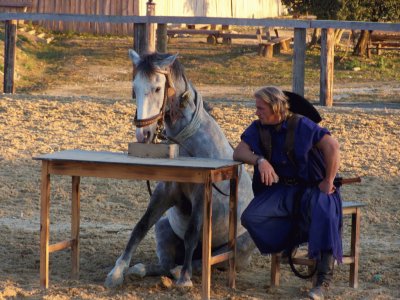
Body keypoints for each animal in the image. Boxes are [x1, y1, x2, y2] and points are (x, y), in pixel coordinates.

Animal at [104, 49, 253, 288]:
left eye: (157, 88)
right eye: (134, 88)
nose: (143, 135)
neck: (187, 144)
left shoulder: (201, 194)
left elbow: (192, 233)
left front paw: (184, 279)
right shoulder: (165, 193)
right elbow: (140, 226)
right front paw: (117, 271)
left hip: (236, 249)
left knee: (203, 261)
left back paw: (180, 271)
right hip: (164, 229)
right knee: (166, 262)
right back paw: (141, 269)